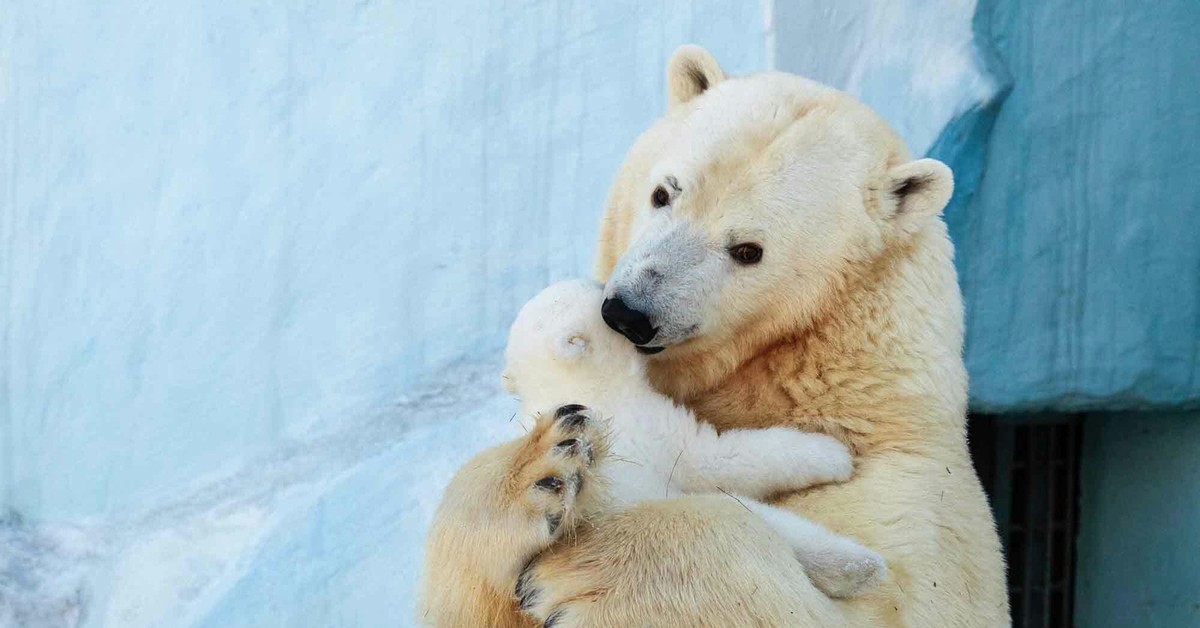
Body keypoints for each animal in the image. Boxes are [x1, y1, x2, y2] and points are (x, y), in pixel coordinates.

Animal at [427, 46, 1008, 624]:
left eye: (748, 250)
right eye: (664, 192)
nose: (629, 312)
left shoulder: (908, 482)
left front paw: (590, 568)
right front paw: (542, 472)